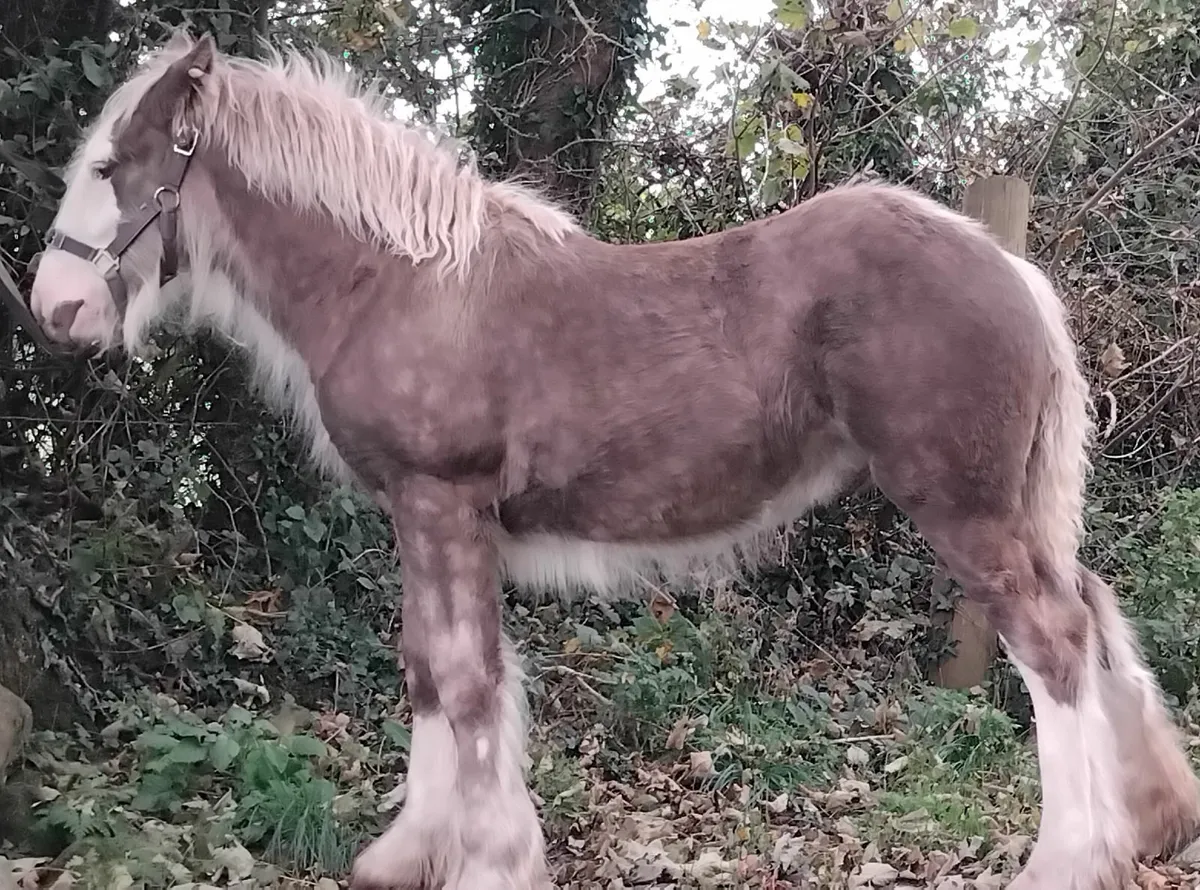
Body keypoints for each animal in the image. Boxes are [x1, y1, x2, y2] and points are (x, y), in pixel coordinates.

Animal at [23, 29, 1200, 890]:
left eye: (108, 165)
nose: (54, 308)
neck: (399, 282)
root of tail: (1010, 265)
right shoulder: (428, 514)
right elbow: (433, 667)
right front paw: (411, 853)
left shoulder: (441, 501)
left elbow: (463, 677)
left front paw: (490, 863)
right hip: (1016, 506)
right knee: (1093, 610)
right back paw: (1152, 822)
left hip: (963, 506)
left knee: (1050, 643)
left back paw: (1069, 859)